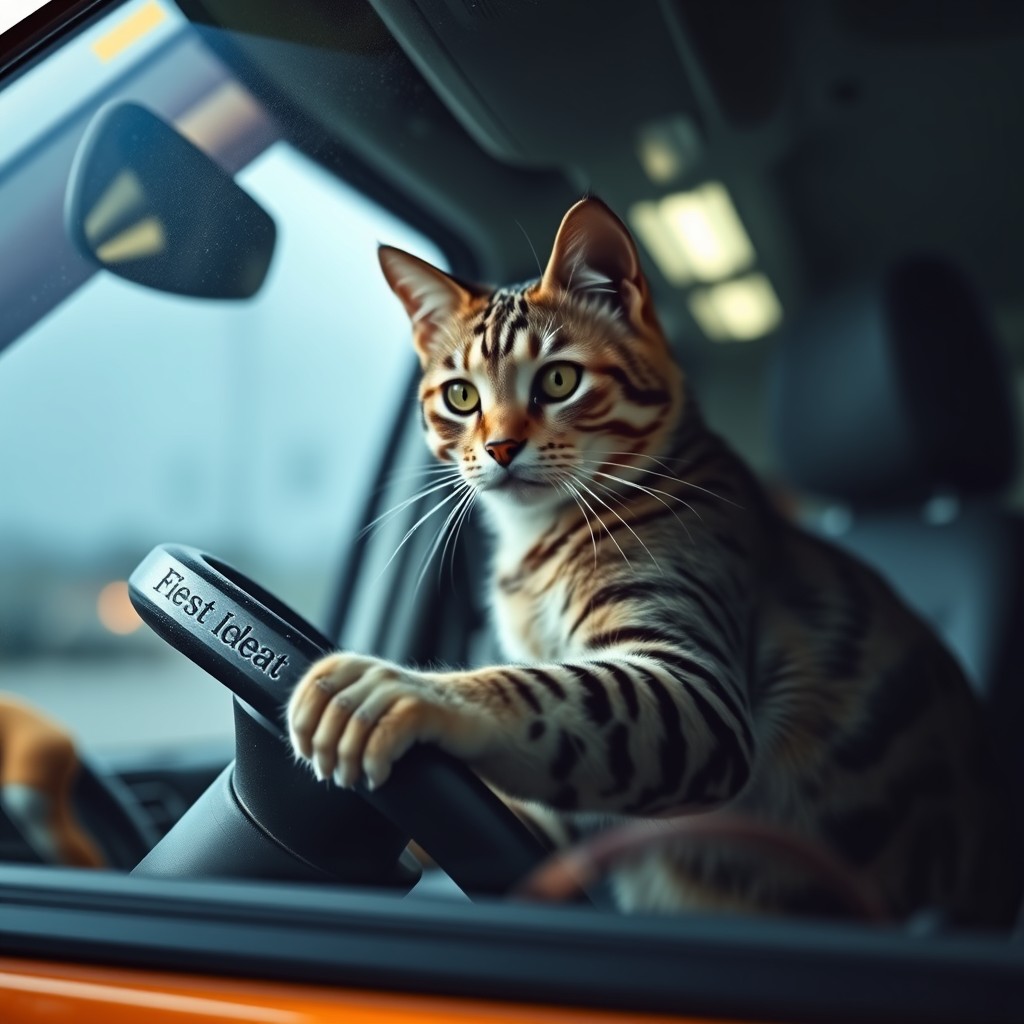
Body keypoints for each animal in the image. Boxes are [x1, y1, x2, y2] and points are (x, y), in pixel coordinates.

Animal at [288, 195, 1024, 925]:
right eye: (461, 396)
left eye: (559, 379)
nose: (498, 448)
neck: (539, 540)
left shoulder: (698, 692)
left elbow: (550, 691)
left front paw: (410, 691)